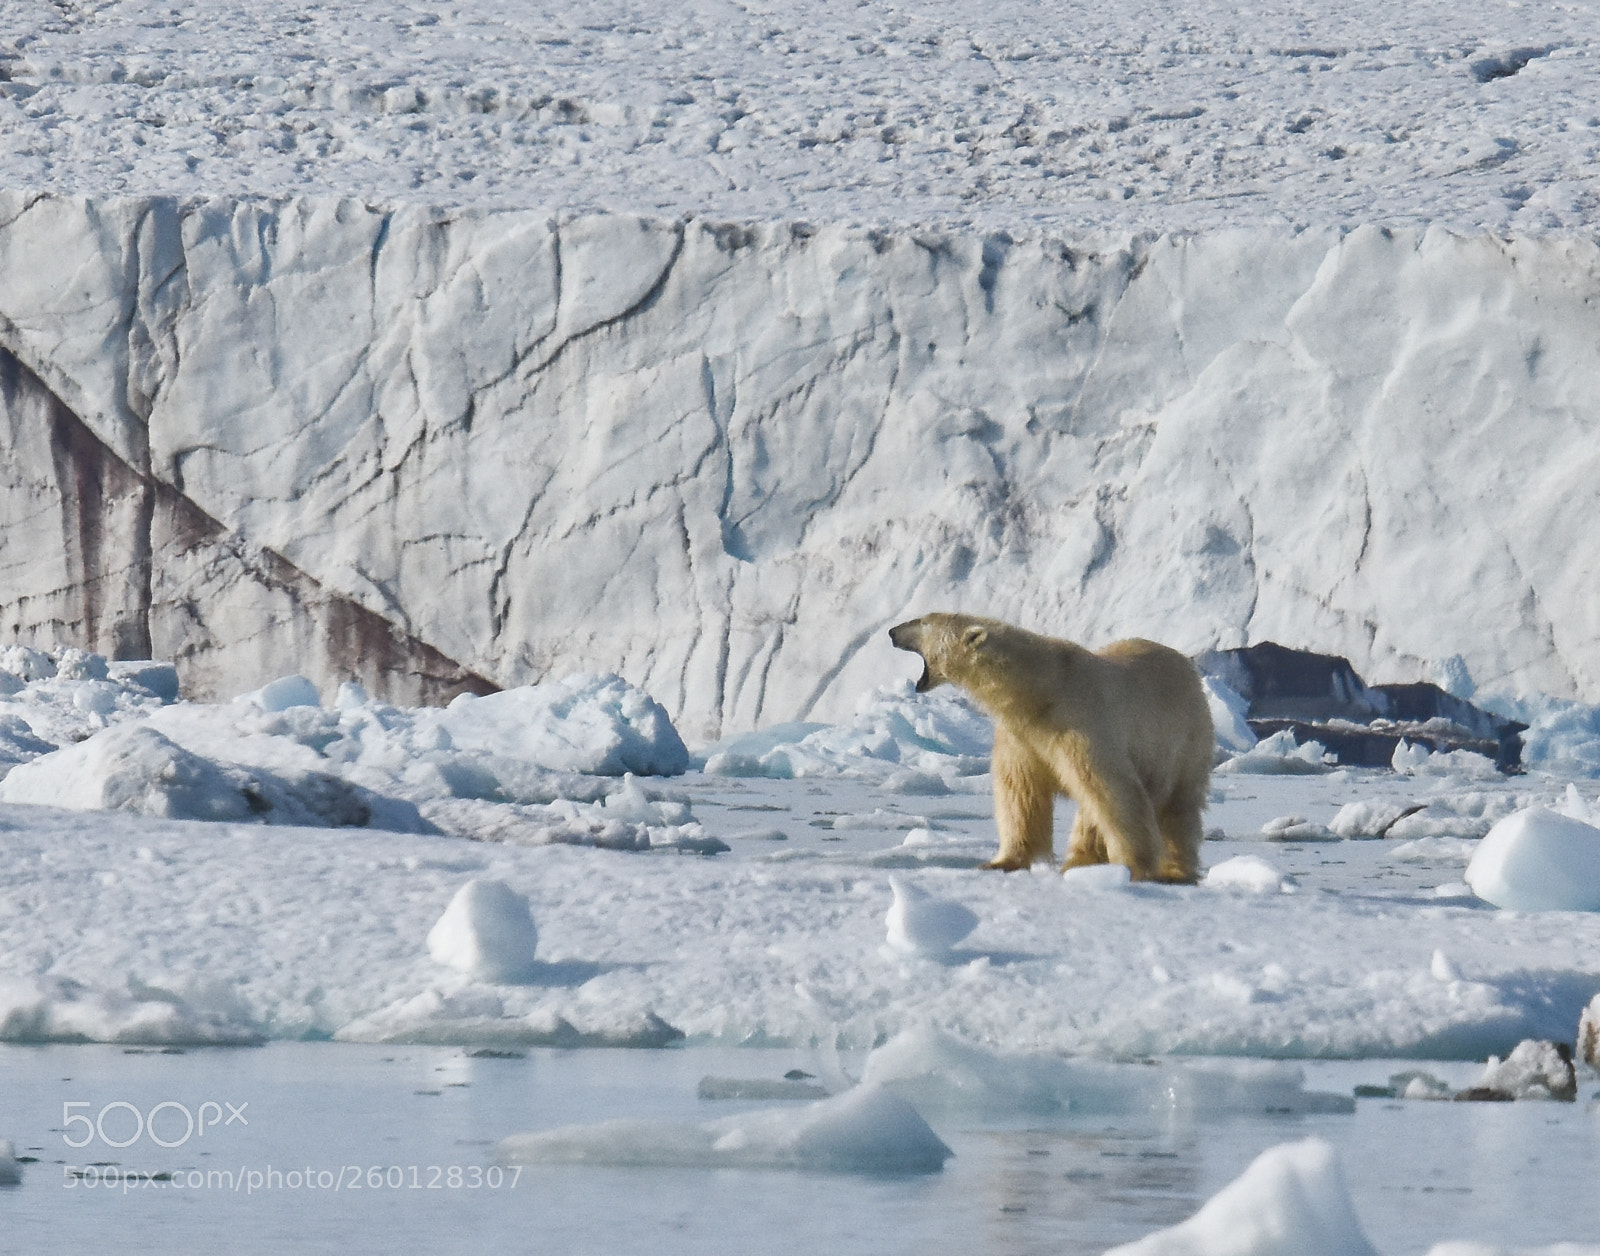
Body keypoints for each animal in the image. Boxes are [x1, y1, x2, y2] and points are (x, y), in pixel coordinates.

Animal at [888, 613, 1212, 883]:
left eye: (924, 621)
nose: (892, 631)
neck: (1042, 689)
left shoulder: (1081, 726)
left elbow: (1117, 792)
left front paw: (1132, 867)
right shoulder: (1021, 736)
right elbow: (1020, 794)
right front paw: (998, 863)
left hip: (1183, 740)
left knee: (1176, 806)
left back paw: (1174, 871)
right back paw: (1080, 862)